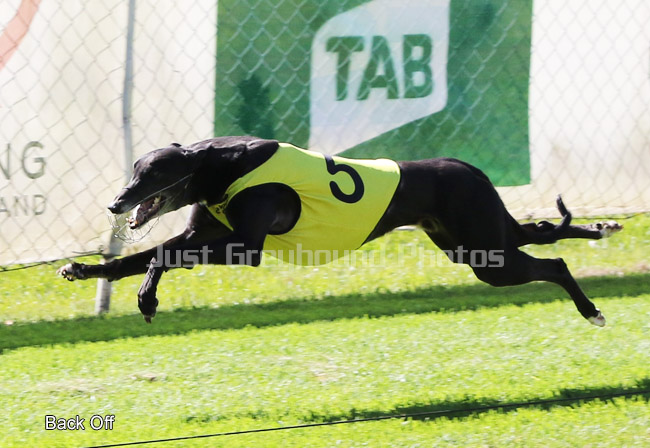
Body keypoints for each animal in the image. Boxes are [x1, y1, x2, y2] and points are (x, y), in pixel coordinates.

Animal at [57, 136, 622, 325]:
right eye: (134, 169)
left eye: (150, 174)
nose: (115, 202)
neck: (220, 164)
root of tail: (469, 169)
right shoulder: (203, 235)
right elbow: (139, 258)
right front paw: (85, 269)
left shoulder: (243, 247)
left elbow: (158, 257)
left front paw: (147, 301)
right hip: (475, 244)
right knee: (545, 231)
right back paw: (601, 227)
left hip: (489, 255)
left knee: (553, 261)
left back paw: (591, 309)